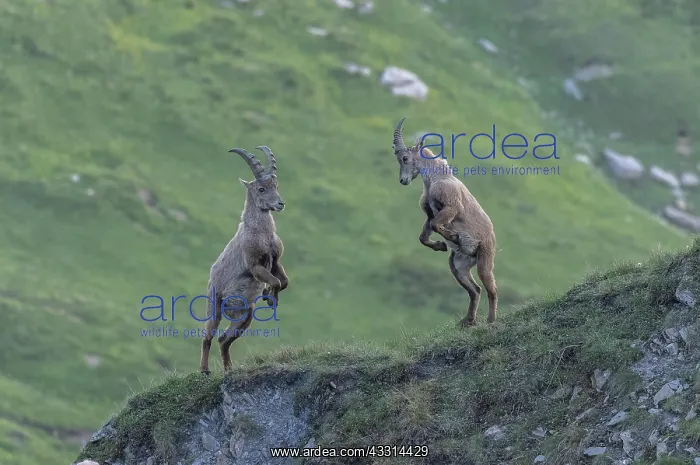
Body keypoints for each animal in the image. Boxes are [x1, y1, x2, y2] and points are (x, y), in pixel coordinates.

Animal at [200, 145, 289, 374]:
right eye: (261, 189)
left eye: (276, 186)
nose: (280, 203)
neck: (263, 233)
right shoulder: (255, 265)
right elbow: (276, 281)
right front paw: (270, 298)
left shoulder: (275, 261)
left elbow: (283, 281)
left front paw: (269, 295)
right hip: (215, 305)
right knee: (209, 335)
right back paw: (204, 370)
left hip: (245, 316)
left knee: (224, 339)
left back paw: (229, 369)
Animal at [391, 117, 498, 326]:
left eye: (405, 158)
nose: (403, 181)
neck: (437, 178)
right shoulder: (430, 213)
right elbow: (423, 235)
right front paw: (440, 245)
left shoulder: (451, 207)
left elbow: (436, 225)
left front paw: (453, 237)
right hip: (457, 266)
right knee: (475, 290)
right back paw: (468, 321)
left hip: (484, 259)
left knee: (491, 289)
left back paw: (490, 321)